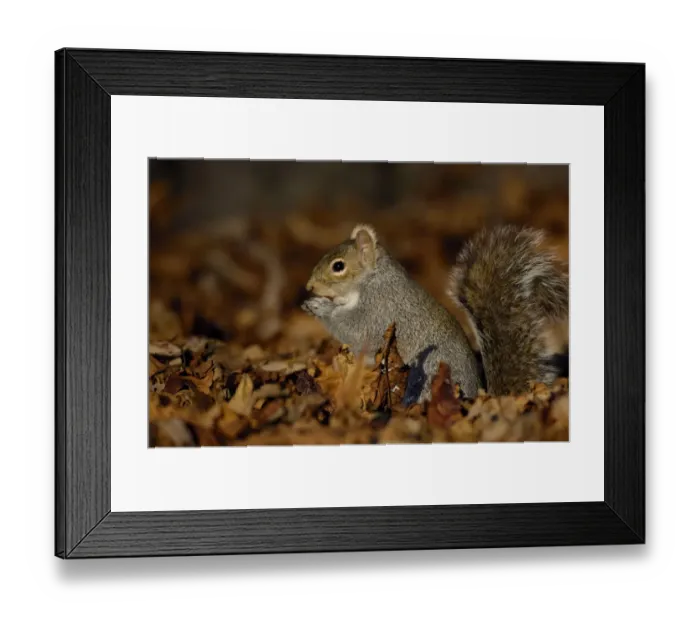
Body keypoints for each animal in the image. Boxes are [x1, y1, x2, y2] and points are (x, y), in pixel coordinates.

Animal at [302, 223, 568, 403]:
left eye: (338, 266)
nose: (309, 286)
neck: (372, 279)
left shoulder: (380, 308)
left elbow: (356, 329)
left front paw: (320, 307)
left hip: (426, 375)